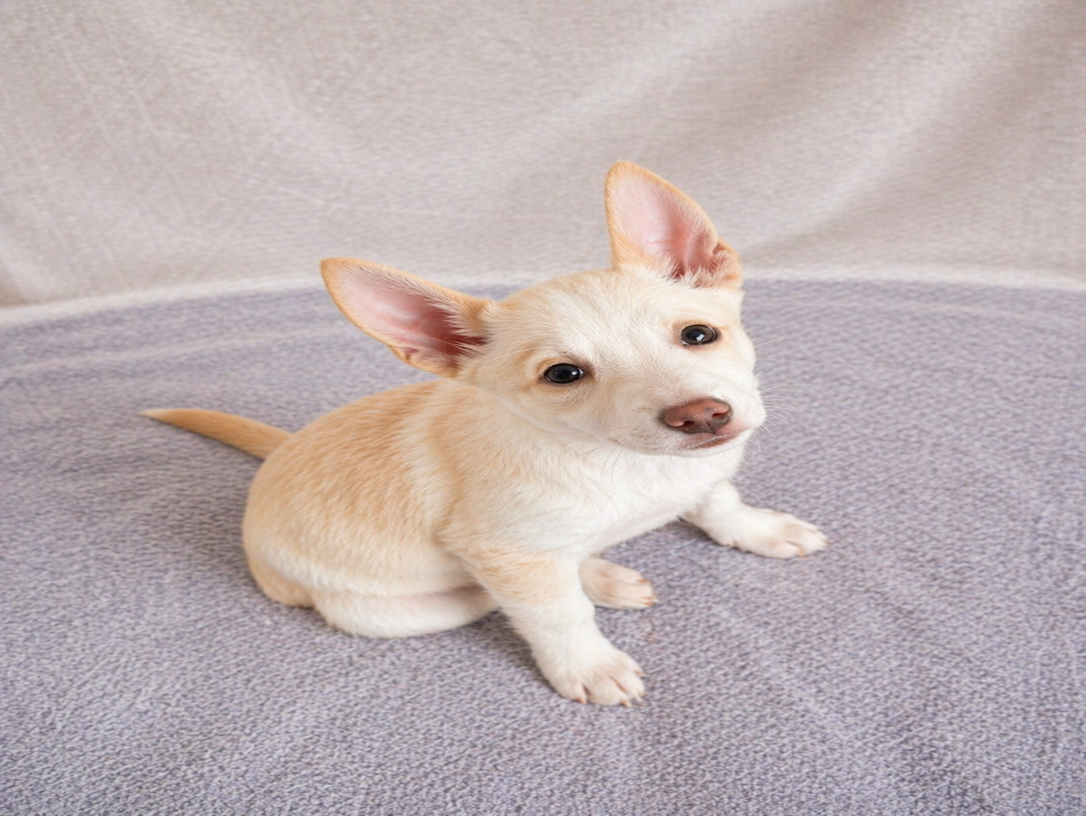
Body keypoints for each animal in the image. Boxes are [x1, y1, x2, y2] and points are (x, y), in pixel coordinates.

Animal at [144, 162, 826, 706]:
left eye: (698, 335)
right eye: (564, 374)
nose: (701, 415)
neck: (628, 463)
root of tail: (275, 456)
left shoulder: (706, 471)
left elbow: (719, 501)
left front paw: (760, 530)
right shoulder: (507, 554)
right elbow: (558, 614)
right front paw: (588, 664)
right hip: (385, 611)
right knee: (489, 594)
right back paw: (595, 577)